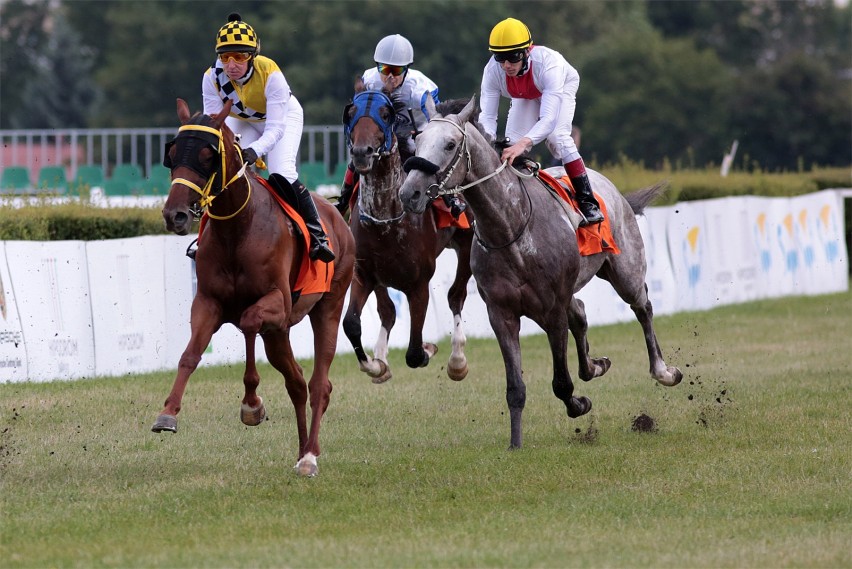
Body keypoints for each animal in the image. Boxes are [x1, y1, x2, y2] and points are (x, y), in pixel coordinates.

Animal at [155, 100, 354, 478]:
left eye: (207, 155)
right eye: (171, 154)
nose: (175, 215)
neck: (238, 228)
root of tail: (338, 215)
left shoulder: (276, 303)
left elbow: (247, 322)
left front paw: (252, 404)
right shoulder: (208, 302)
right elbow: (190, 354)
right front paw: (168, 413)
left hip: (329, 305)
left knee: (319, 383)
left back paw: (310, 456)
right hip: (279, 333)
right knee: (297, 383)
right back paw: (301, 451)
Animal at [340, 90, 472, 382]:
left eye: (385, 114)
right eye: (352, 112)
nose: (361, 153)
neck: (386, 220)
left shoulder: (419, 284)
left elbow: (413, 352)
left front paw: (428, 348)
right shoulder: (364, 273)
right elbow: (353, 323)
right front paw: (376, 364)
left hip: (468, 246)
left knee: (456, 296)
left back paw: (458, 359)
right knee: (387, 311)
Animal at [396, 95, 684, 446]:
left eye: (450, 144)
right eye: (418, 139)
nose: (409, 193)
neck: (510, 228)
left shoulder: (552, 309)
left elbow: (561, 381)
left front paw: (579, 404)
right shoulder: (502, 314)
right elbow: (515, 388)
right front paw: (515, 444)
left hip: (625, 270)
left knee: (642, 307)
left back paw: (664, 371)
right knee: (581, 312)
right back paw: (594, 365)